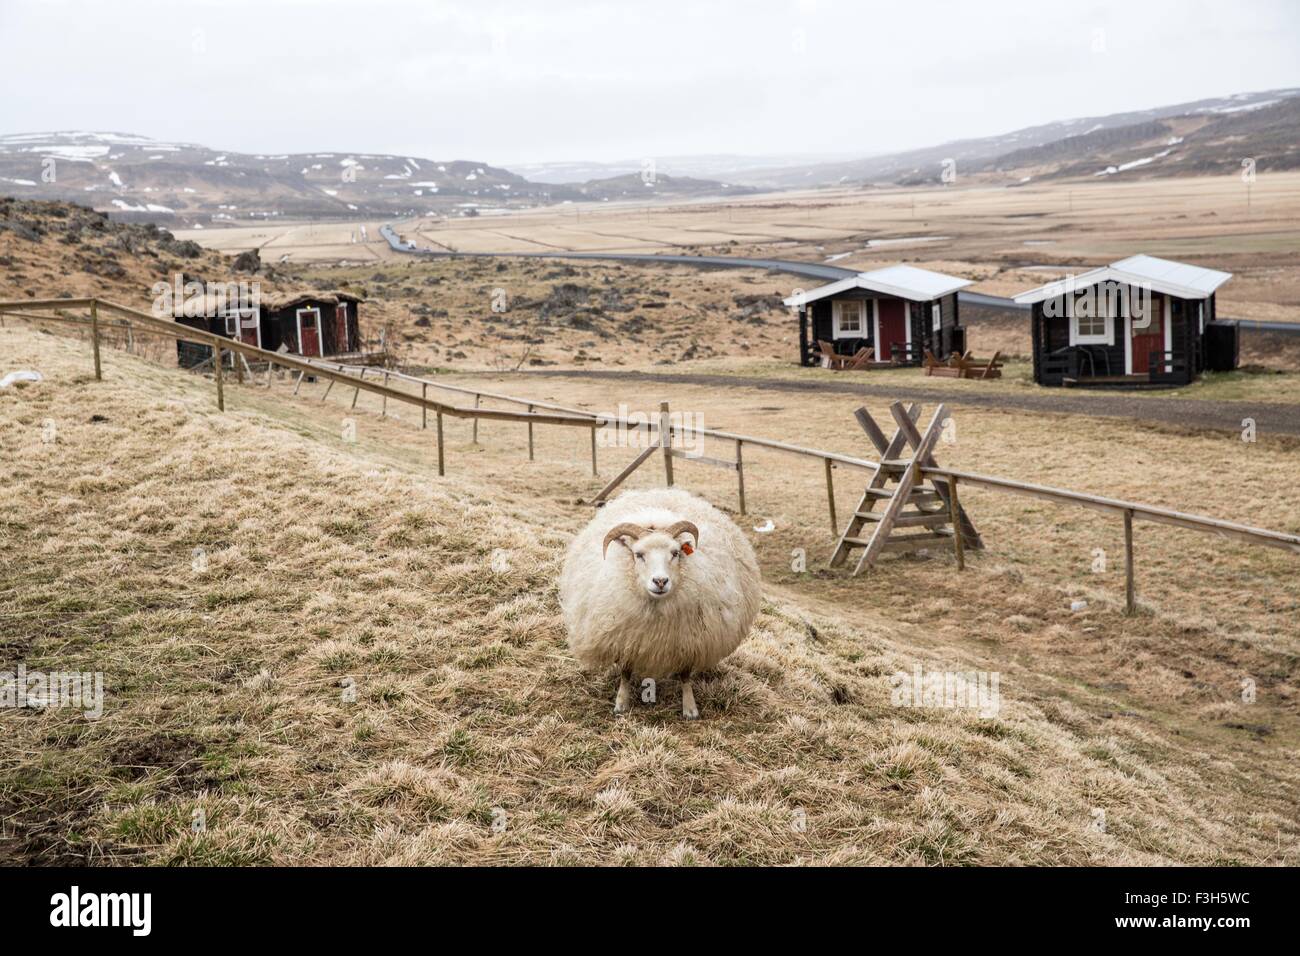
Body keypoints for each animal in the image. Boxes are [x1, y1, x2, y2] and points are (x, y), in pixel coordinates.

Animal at [559, 489, 759, 723]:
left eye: (675, 553)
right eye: (638, 554)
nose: (660, 581)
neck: (657, 610)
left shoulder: (689, 640)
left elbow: (685, 675)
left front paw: (690, 708)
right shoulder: (627, 638)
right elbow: (625, 672)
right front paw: (621, 703)